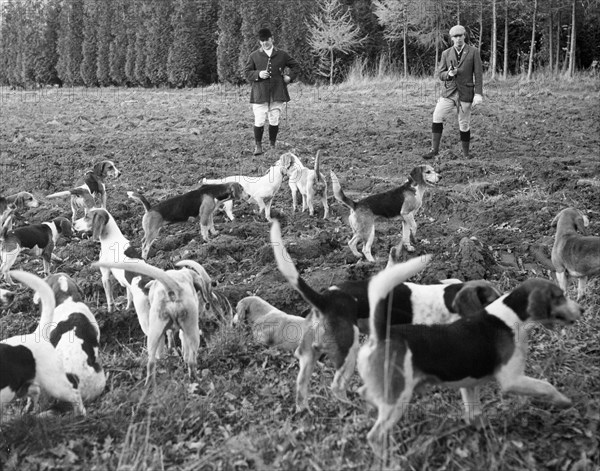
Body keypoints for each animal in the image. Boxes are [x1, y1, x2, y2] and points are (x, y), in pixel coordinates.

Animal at [0, 272, 85, 418]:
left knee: (75, 395)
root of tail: (36, 335)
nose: (11, 295)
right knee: (35, 394)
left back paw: (80, 415)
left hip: (55, 385)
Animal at [358, 264, 584, 456]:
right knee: (374, 435)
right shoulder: (511, 380)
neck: (509, 315)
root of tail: (382, 334)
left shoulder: (469, 384)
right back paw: (390, 459)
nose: (581, 309)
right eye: (560, 296)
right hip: (398, 397)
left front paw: (481, 431)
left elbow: (474, 412)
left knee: (365, 394)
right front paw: (564, 401)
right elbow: (546, 386)